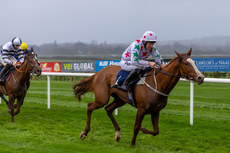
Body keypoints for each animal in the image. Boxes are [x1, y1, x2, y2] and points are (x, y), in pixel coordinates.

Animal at [73, 48, 204, 145]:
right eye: (186, 63)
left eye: (195, 62)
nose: (201, 77)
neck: (158, 84)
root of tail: (99, 73)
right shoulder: (141, 109)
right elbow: (136, 127)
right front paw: (132, 144)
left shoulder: (155, 111)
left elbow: (156, 131)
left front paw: (142, 128)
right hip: (102, 98)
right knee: (90, 107)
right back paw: (84, 133)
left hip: (120, 99)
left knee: (108, 109)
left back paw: (118, 134)